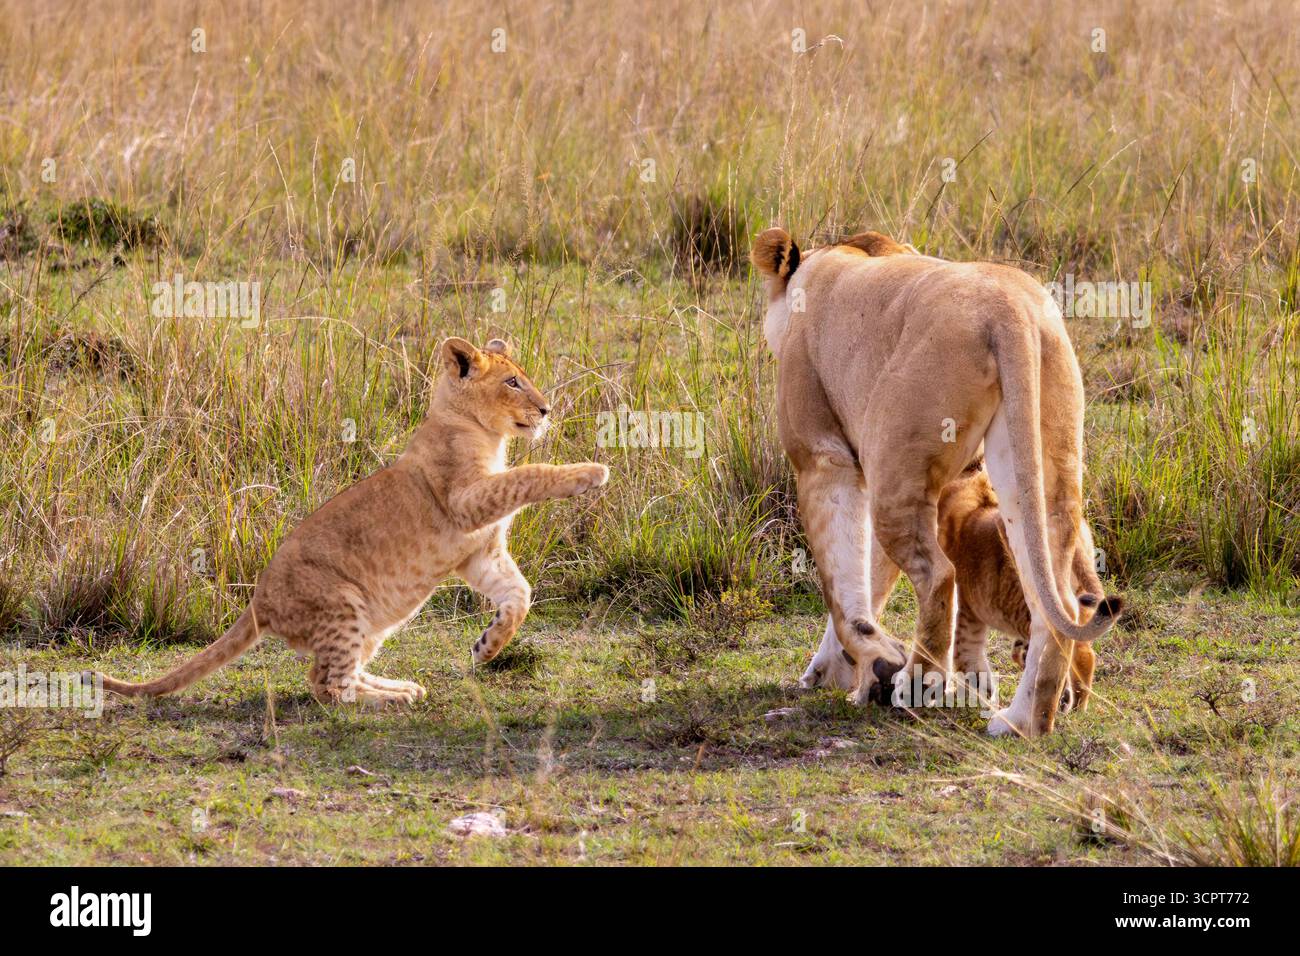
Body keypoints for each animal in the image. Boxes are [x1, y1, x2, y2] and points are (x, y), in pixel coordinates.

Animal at [93, 338, 609, 706]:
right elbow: (530, 474)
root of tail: (258, 601)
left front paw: (488, 645)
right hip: (343, 604)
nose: (546, 410)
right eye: (513, 382)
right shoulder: (465, 503)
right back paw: (392, 700)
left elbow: (519, 594)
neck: (485, 434)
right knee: (327, 687)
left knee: (339, 674)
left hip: (373, 620)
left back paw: (400, 686)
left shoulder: (480, 553)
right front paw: (589, 473)